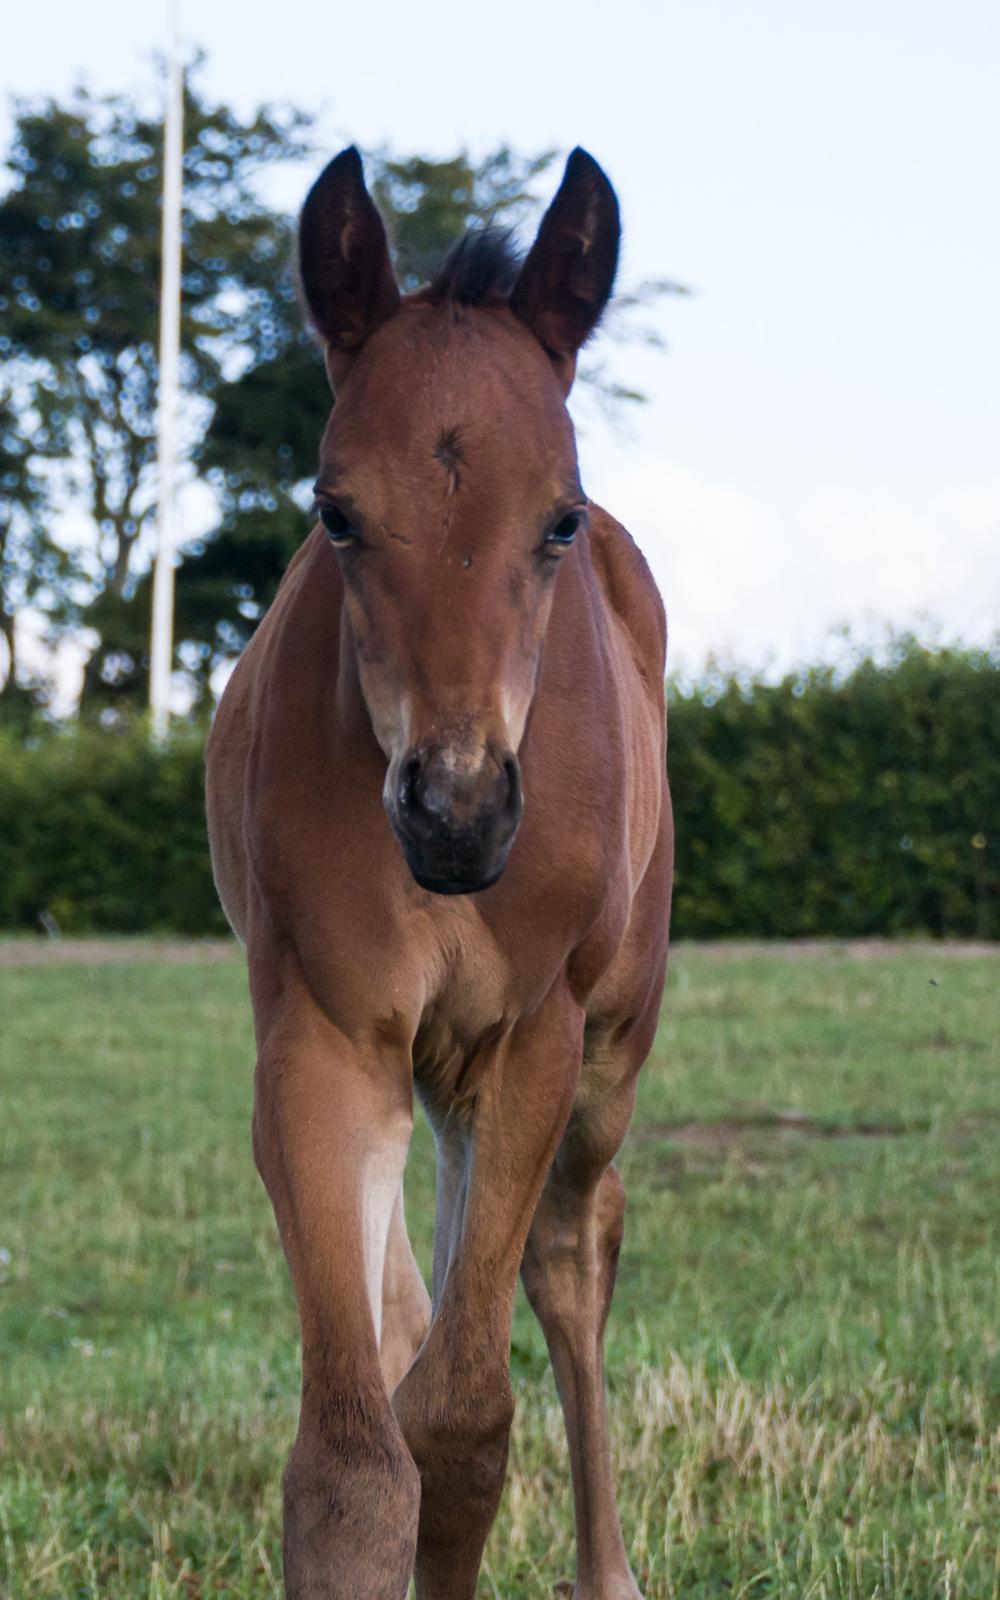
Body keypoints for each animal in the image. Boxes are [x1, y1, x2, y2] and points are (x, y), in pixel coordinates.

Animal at [204, 144, 672, 1593]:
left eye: (558, 520)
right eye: (335, 513)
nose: (456, 811)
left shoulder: (531, 1040)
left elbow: (463, 1419)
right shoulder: (326, 1034)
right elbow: (357, 1459)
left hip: (608, 1044)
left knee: (573, 1253)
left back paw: (609, 1571)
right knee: (412, 1302)